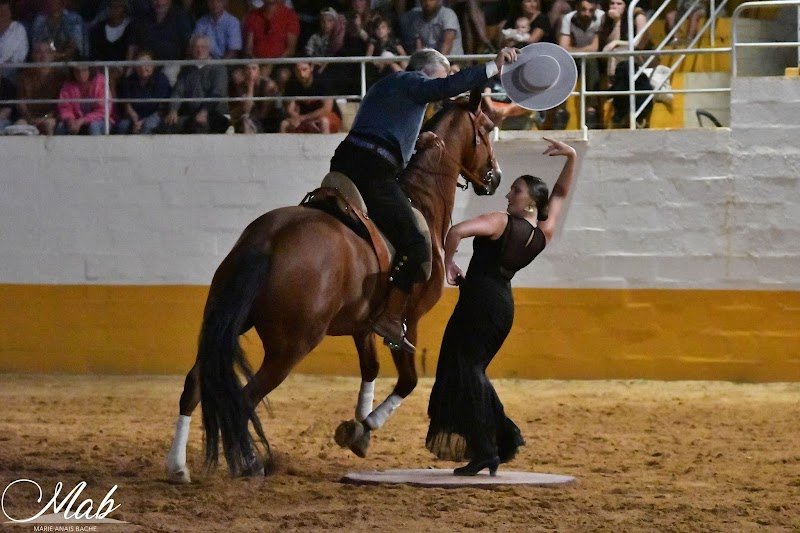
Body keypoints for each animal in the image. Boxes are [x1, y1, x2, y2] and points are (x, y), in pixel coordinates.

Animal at [165, 89, 502, 482]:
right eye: (486, 127)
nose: (495, 177)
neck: (422, 201)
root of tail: (269, 239)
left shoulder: (363, 325)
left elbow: (370, 369)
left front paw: (358, 429)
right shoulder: (407, 323)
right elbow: (408, 380)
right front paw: (365, 426)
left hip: (229, 323)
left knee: (193, 385)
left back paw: (178, 467)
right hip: (289, 347)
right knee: (244, 400)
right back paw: (251, 464)